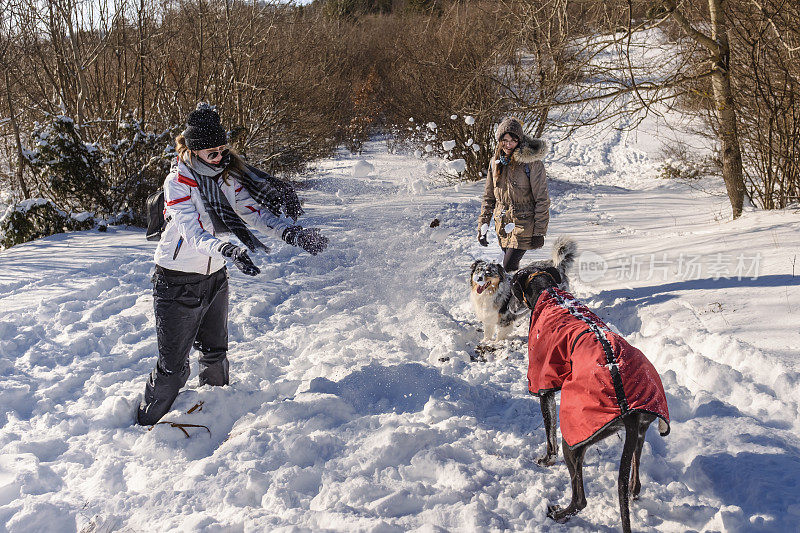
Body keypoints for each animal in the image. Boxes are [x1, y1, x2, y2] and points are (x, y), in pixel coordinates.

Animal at [512, 266, 668, 532]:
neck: (550, 291)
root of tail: (627, 409)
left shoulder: (543, 384)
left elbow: (549, 435)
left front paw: (545, 460)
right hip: (640, 433)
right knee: (635, 479)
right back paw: (631, 491)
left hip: (573, 440)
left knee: (580, 499)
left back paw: (559, 513)